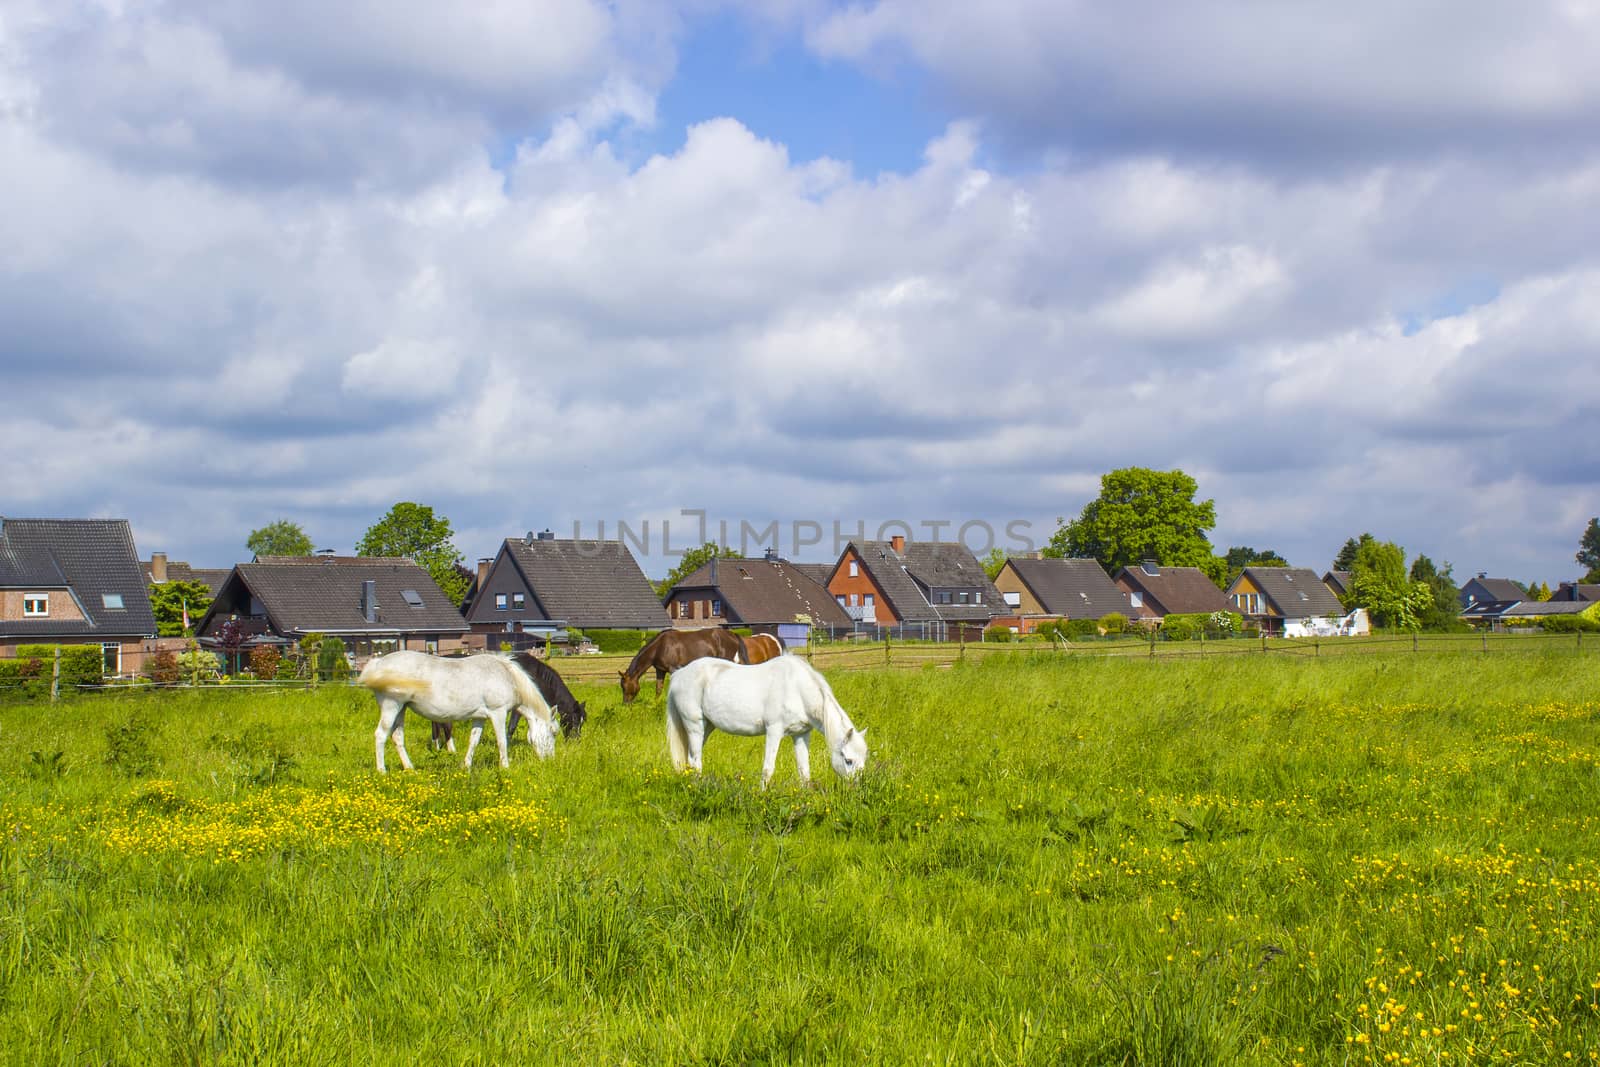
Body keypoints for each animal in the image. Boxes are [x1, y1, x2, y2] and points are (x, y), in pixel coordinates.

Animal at [360, 655, 560, 771]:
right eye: (553, 732)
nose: (551, 761)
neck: (507, 676)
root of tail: (378, 663)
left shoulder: (480, 717)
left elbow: (474, 741)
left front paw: (466, 766)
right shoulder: (498, 713)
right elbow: (502, 741)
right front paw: (505, 767)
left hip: (401, 708)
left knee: (397, 737)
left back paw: (409, 768)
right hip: (391, 705)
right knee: (381, 735)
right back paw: (382, 770)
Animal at [662, 655, 870, 790]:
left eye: (863, 760)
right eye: (848, 760)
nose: (855, 788)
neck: (797, 688)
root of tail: (679, 674)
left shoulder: (801, 734)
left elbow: (804, 771)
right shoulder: (774, 732)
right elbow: (768, 769)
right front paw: (762, 796)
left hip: (706, 727)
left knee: (691, 760)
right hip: (694, 726)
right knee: (696, 762)